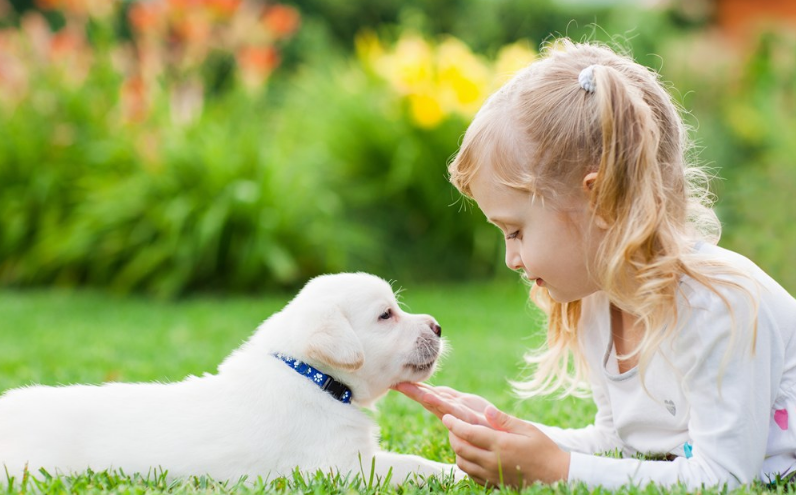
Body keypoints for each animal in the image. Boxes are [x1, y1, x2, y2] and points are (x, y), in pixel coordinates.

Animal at [0, 272, 460, 484]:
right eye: (386, 315)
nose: (438, 326)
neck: (311, 377)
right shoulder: (342, 466)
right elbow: (410, 465)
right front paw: (457, 473)